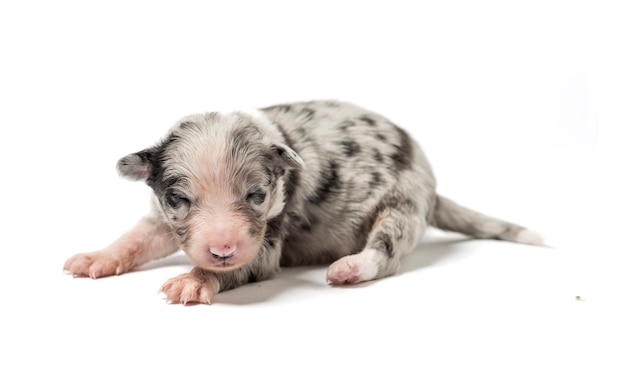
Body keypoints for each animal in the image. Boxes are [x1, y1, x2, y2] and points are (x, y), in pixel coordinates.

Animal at [64, 100, 540, 304]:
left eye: (256, 195)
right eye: (178, 198)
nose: (222, 249)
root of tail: (433, 189)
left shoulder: (267, 239)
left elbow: (245, 265)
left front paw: (194, 280)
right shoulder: (162, 218)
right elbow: (137, 237)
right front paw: (95, 257)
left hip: (402, 204)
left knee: (387, 251)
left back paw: (351, 267)